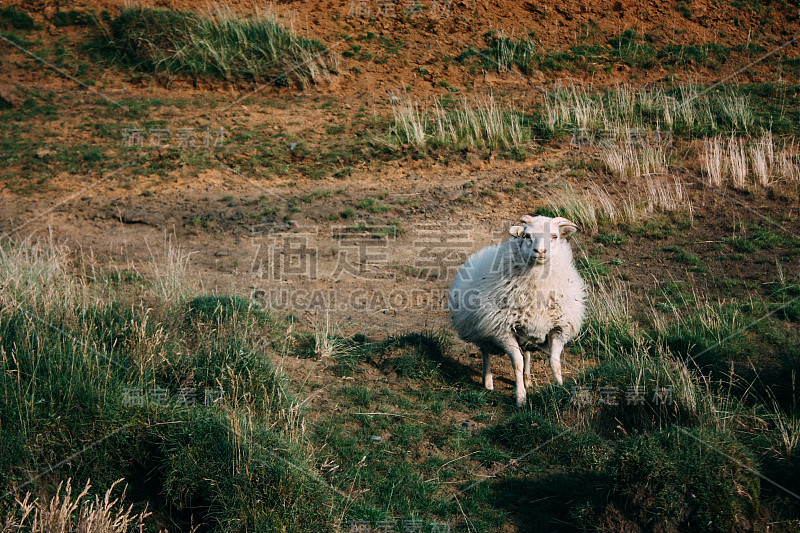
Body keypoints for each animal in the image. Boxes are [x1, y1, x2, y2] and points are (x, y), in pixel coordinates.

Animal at [450, 214, 588, 406]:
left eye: (554, 236)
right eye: (527, 236)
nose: (540, 251)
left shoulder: (559, 328)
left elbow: (554, 362)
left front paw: (561, 389)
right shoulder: (502, 331)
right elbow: (517, 362)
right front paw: (521, 398)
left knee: (528, 352)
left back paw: (528, 379)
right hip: (481, 329)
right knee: (485, 352)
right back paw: (488, 382)